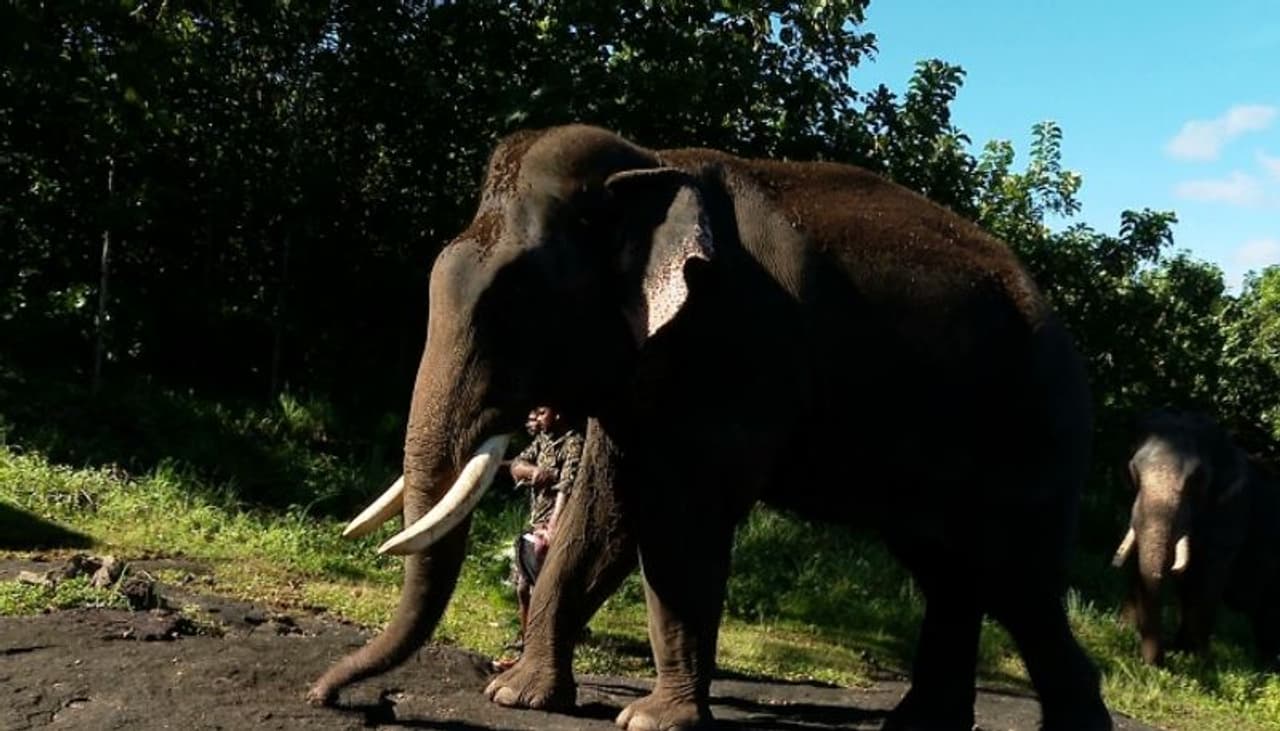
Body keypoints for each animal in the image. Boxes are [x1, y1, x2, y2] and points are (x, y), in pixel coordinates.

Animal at [306, 124, 1113, 731]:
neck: (652, 165)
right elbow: (603, 510)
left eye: (516, 302)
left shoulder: (735, 343)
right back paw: (916, 727)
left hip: (1033, 433)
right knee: (949, 570)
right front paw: (517, 696)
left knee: (1014, 578)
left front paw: (651, 721)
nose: (328, 695)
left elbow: (680, 517)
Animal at [1112, 409, 1280, 667]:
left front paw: (1194, 659)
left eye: (1197, 479)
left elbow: (1207, 577)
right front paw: (1123, 631)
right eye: (1133, 471)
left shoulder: (1233, 511)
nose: (1155, 664)